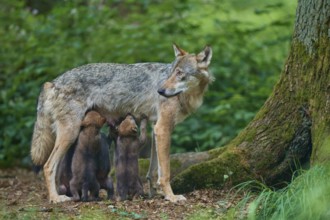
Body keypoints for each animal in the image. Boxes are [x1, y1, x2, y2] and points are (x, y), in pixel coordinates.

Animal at [30, 44, 211, 203]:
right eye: (172, 73)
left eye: (180, 73)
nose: (160, 91)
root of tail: (52, 83)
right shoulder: (163, 129)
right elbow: (165, 171)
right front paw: (172, 197)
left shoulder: (156, 129)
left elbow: (154, 171)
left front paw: (158, 193)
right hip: (70, 134)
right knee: (47, 166)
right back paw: (55, 199)